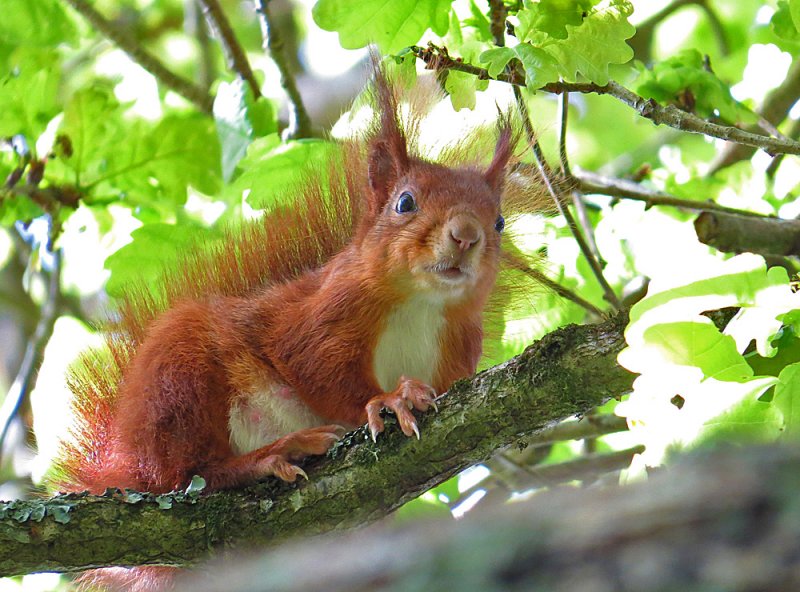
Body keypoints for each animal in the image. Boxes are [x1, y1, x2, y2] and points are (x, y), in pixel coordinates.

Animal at [55, 62, 521, 590]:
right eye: (405, 203)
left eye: (500, 222)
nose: (466, 234)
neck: (423, 304)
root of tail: (122, 465)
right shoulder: (321, 315)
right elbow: (318, 368)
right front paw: (388, 400)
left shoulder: (460, 353)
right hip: (178, 377)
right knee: (186, 477)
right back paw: (266, 458)